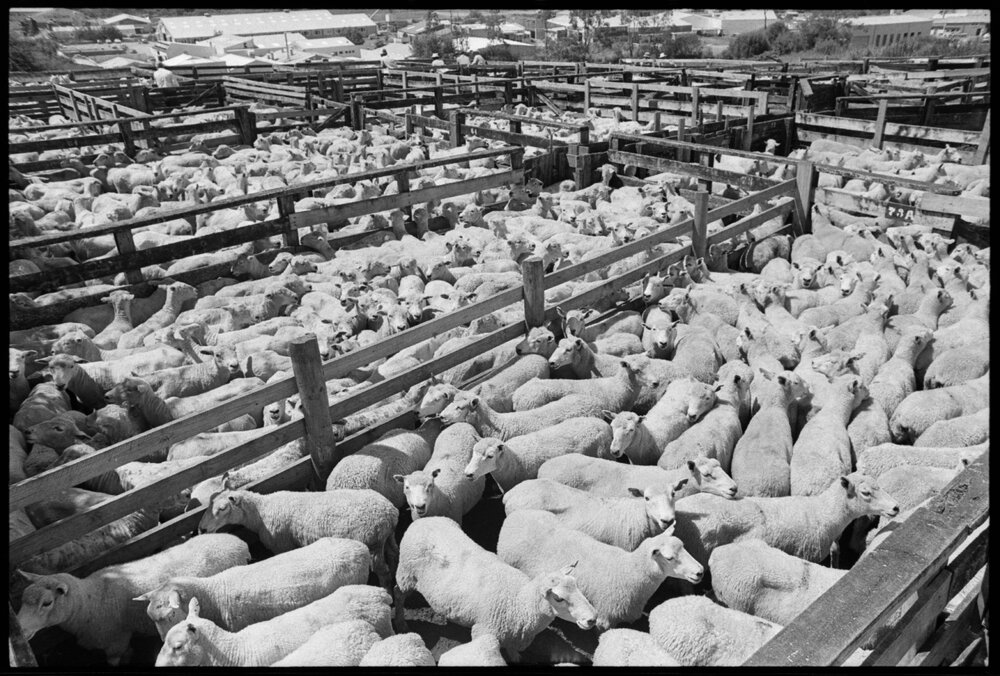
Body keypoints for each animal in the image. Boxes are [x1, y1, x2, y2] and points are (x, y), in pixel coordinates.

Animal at [15, 534, 249, 666]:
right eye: (23, 599)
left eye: (47, 603)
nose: (21, 630)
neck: (91, 601)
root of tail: (238, 542)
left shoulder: (115, 641)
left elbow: (116, 659)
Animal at [199, 488, 398, 591]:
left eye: (222, 508)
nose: (201, 529)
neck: (261, 511)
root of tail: (389, 512)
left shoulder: (281, 545)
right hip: (387, 538)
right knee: (394, 556)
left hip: (372, 544)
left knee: (384, 572)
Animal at [394, 516, 598, 662]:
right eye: (559, 598)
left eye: (576, 585)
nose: (592, 618)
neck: (519, 601)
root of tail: (422, 520)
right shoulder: (483, 631)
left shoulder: (514, 633)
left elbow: (513, 650)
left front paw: (516, 657)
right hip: (406, 573)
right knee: (397, 593)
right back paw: (400, 622)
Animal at [497, 509, 703, 630]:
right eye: (669, 558)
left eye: (683, 546)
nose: (700, 571)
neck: (630, 572)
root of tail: (516, 514)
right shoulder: (605, 620)